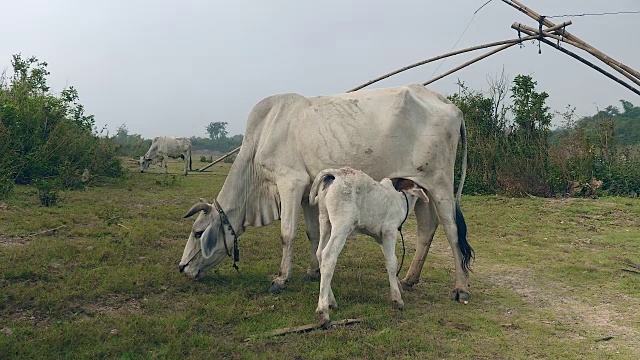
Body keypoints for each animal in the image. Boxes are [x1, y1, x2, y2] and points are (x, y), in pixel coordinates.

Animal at [180, 85, 476, 304]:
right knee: (428, 227)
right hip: (418, 185)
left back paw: (461, 288)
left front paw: (280, 279)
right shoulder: (308, 193)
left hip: (440, 184)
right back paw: (410, 279)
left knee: (452, 230)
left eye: (197, 232)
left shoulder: (290, 183)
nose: (182, 268)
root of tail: (449, 104)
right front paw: (314, 271)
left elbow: (287, 234)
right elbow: (313, 234)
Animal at [306, 167, 428, 328]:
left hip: (325, 220)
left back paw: (331, 301)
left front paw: (398, 288)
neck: (400, 200)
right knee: (328, 256)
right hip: (342, 224)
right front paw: (397, 299)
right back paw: (323, 312)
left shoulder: (381, 238)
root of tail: (336, 173)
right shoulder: (389, 231)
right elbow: (392, 262)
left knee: (320, 253)